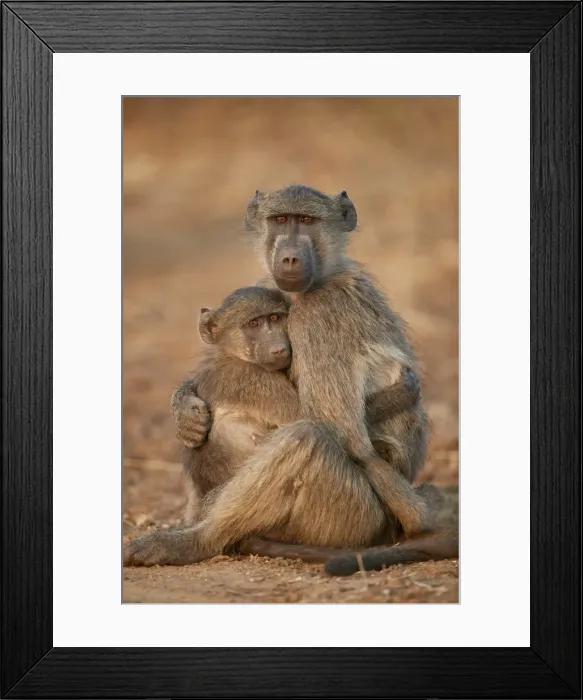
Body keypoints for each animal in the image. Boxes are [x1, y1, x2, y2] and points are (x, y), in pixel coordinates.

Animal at [124, 285, 422, 567]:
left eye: (276, 318)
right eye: (254, 323)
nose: (279, 347)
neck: (231, 355)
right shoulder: (254, 379)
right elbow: (316, 419)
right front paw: (403, 392)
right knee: (307, 435)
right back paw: (193, 543)